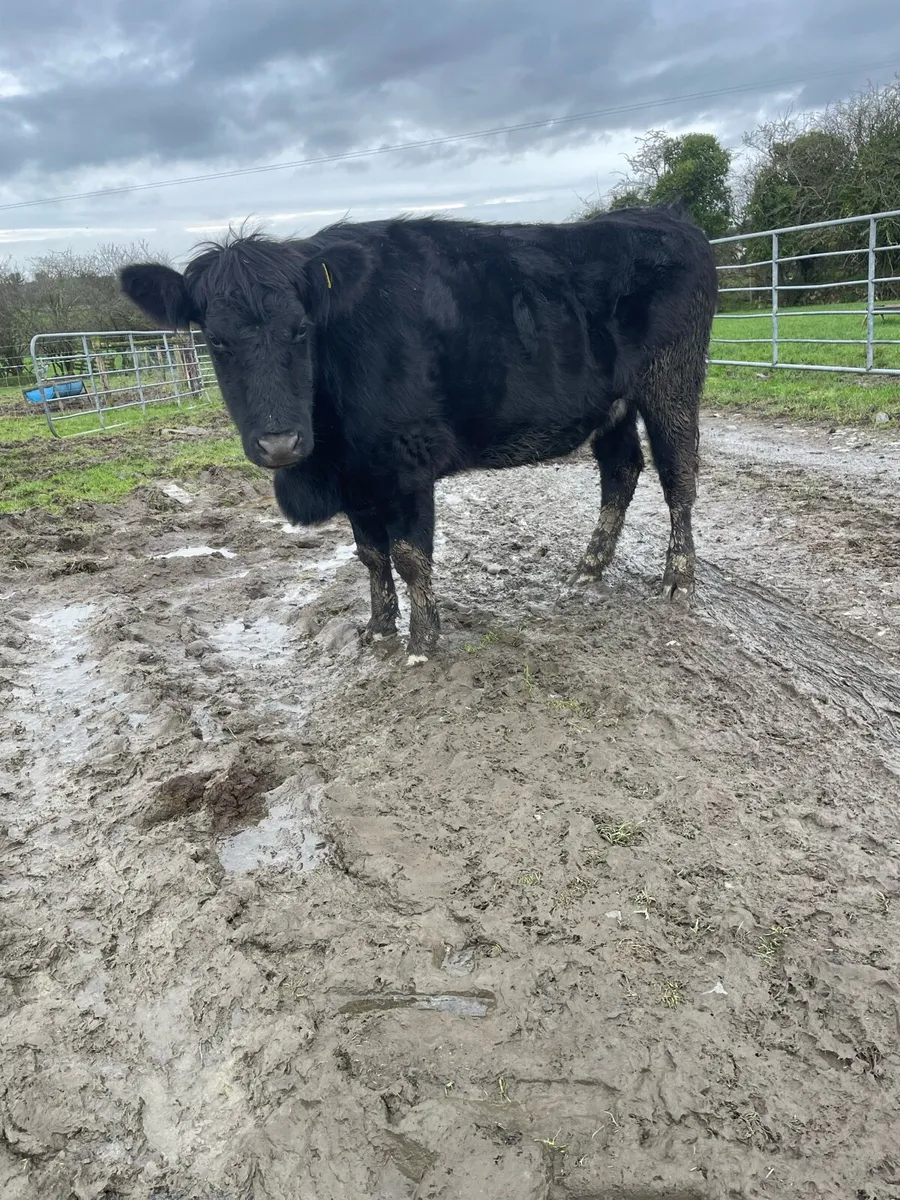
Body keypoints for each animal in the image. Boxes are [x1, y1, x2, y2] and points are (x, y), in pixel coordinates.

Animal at [120, 205, 718, 664]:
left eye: (300, 329)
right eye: (215, 340)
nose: (280, 443)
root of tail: (662, 217)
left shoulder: (406, 461)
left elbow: (409, 555)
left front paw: (422, 642)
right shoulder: (357, 474)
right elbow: (370, 555)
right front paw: (377, 627)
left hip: (672, 381)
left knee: (678, 478)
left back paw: (678, 579)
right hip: (612, 405)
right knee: (621, 472)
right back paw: (589, 568)